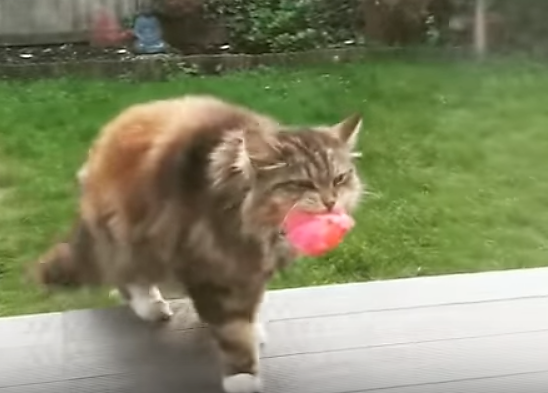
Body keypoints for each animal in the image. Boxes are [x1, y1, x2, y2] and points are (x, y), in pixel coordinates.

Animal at [32, 95, 366, 392]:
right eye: (303, 183)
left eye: (339, 178)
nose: (330, 201)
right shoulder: (206, 266)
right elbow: (233, 331)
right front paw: (242, 376)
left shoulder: (252, 270)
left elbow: (250, 309)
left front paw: (253, 329)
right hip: (131, 239)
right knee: (126, 278)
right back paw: (150, 306)